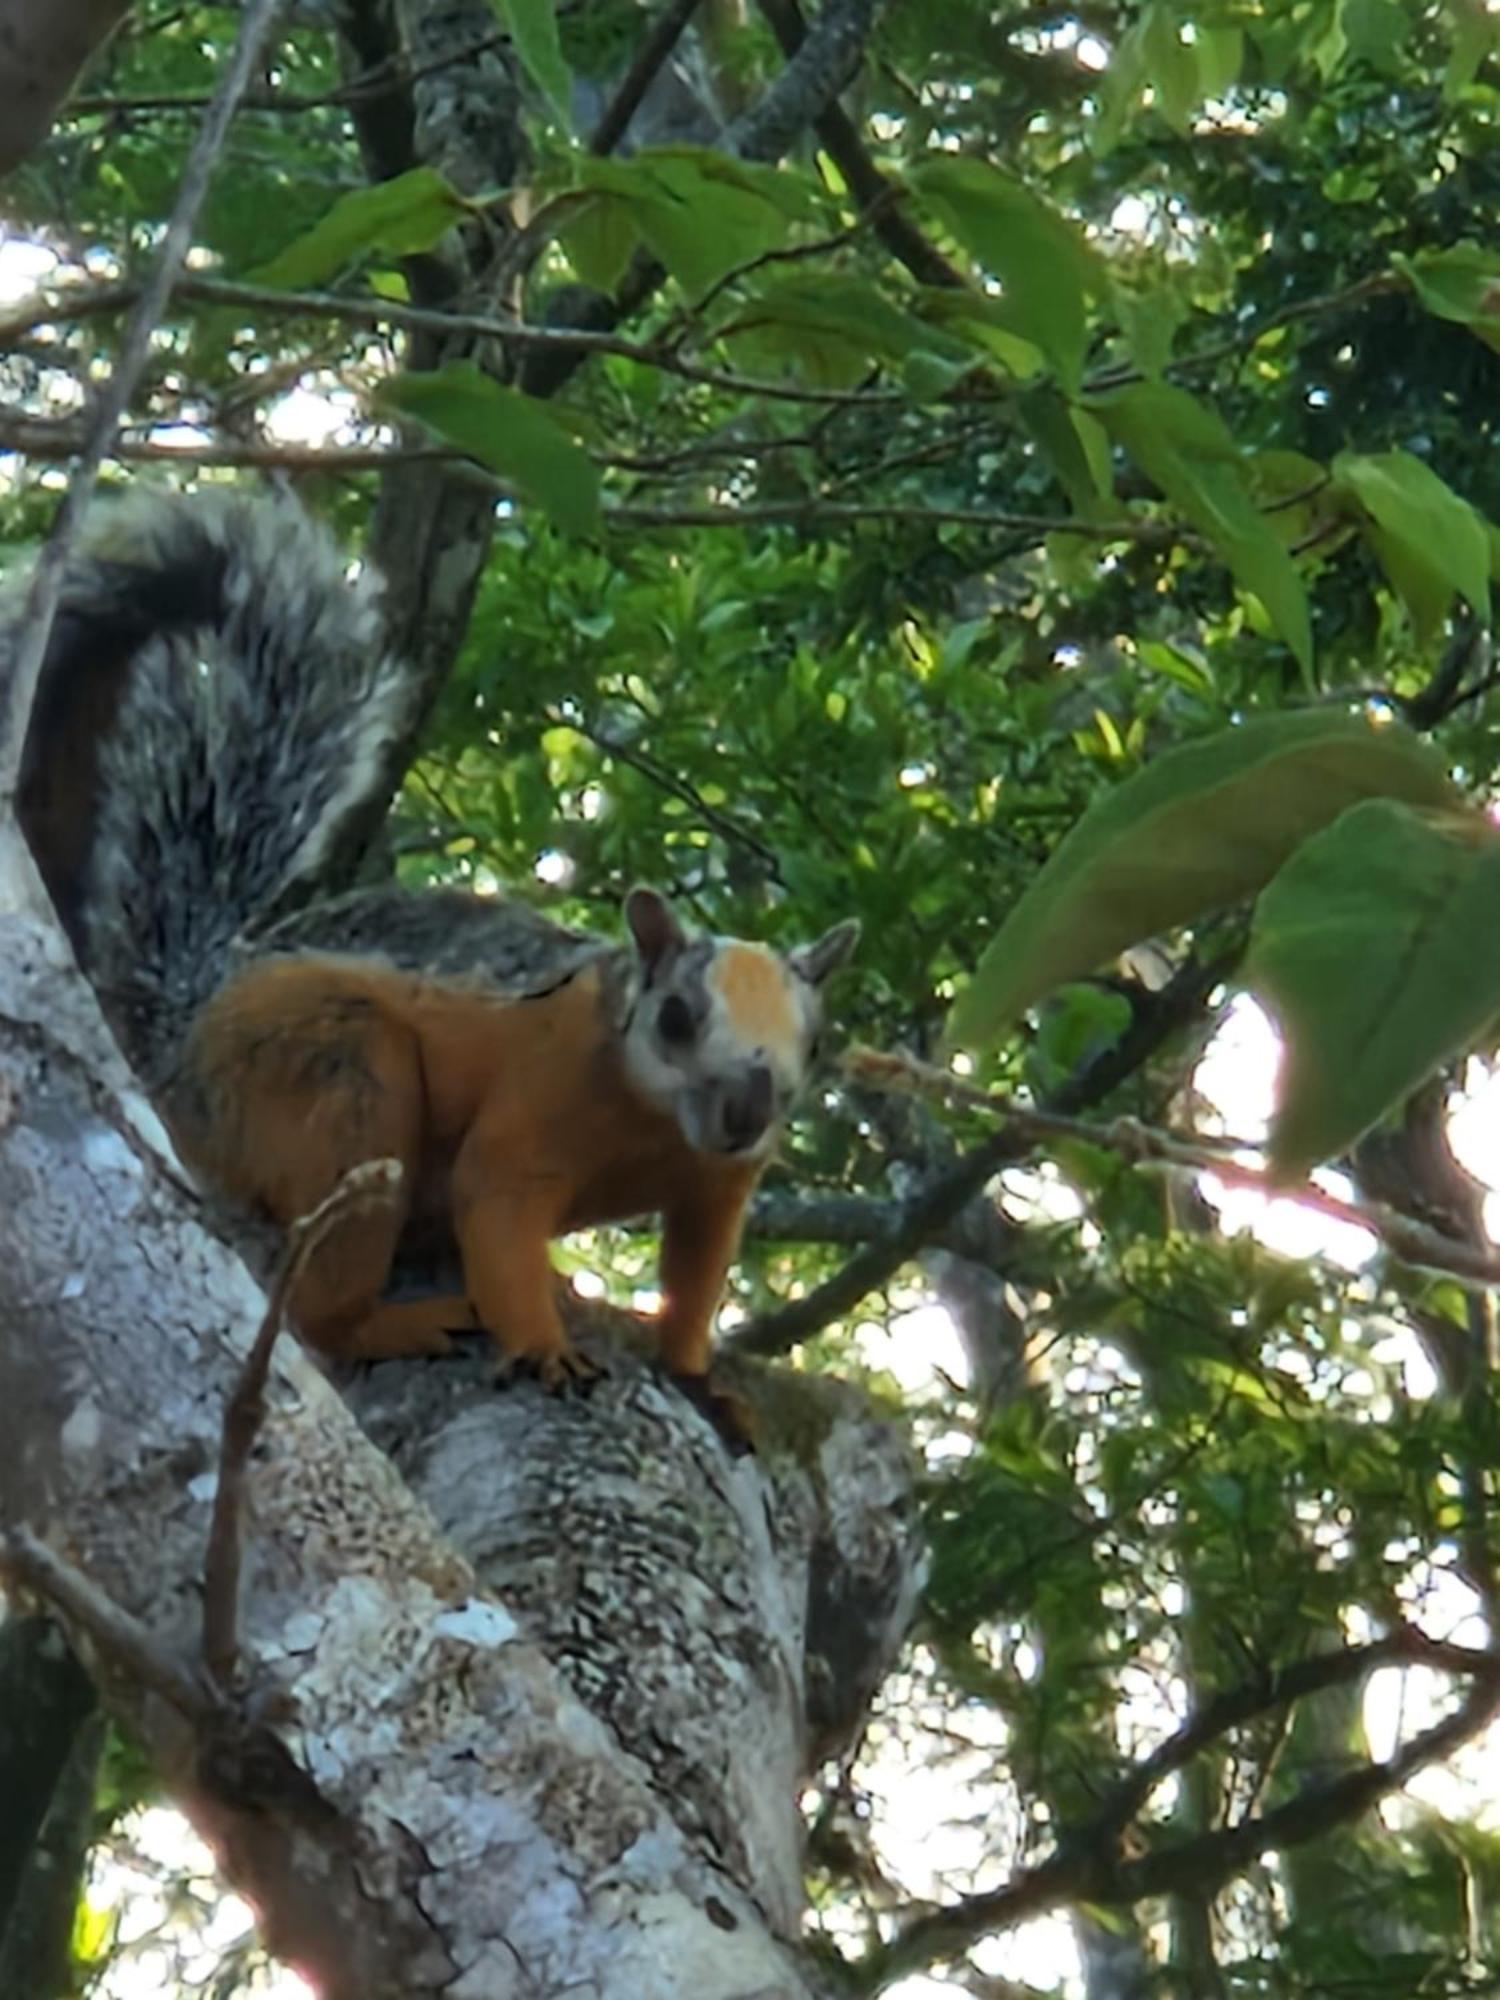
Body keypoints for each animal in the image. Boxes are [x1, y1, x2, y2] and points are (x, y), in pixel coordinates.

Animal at [2, 494, 856, 1408]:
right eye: (677, 1017)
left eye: (816, 1042)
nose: (748, 1109)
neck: (656, 1126)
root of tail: (182, 1040)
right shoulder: (541, 1093)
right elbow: (498, 1206)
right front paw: (544, 1348)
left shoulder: (719, 1185)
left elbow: (696, 1274)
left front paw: (701, 1378)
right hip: (331, 1074)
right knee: (324, 1294)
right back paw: (391, 1323)